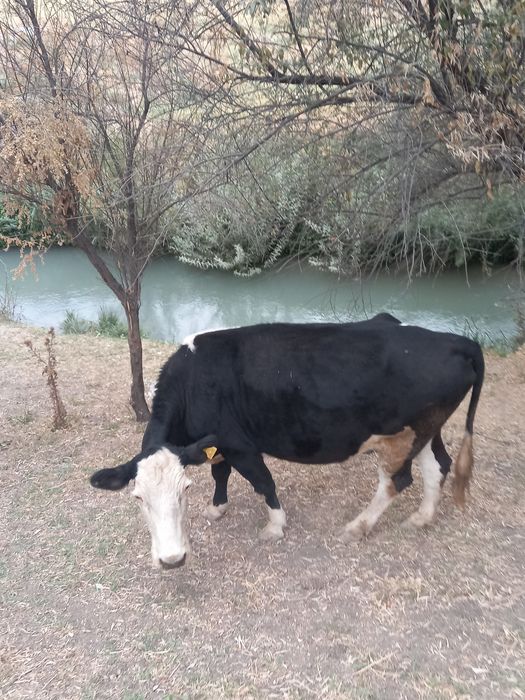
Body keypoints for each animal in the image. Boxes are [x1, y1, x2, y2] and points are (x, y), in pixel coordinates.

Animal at [90, 314, 484, 570]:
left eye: (184, 490)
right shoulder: (218, 445)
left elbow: (264, 482)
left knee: (398, 480)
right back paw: (422, 518)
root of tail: (455, 341)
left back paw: (358, 527)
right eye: (138, 497)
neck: (195, 381)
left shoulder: (240, 445)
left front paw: (275, 526)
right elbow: (220, 474)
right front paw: (218, 508)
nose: (172, 560)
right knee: (437, 467)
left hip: (397, 440)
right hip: (423, 430)